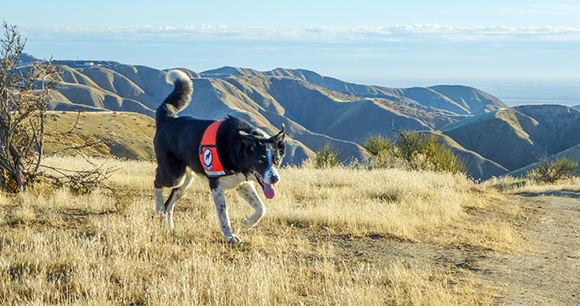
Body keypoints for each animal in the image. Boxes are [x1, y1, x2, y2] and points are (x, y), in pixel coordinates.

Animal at [154, 70, 286, 244]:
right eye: (261, 160)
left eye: (277, 160)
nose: (275, 179)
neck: (239, 147)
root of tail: (167, 119)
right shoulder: (216, 185)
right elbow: (224, 215)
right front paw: (230, 236)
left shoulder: (242, 184)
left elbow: (261, 209)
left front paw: (246, 224)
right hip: (174, 176)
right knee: (157, 182)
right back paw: (157, 209)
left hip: (186, 180)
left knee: (169, 204)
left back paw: (169, 227)